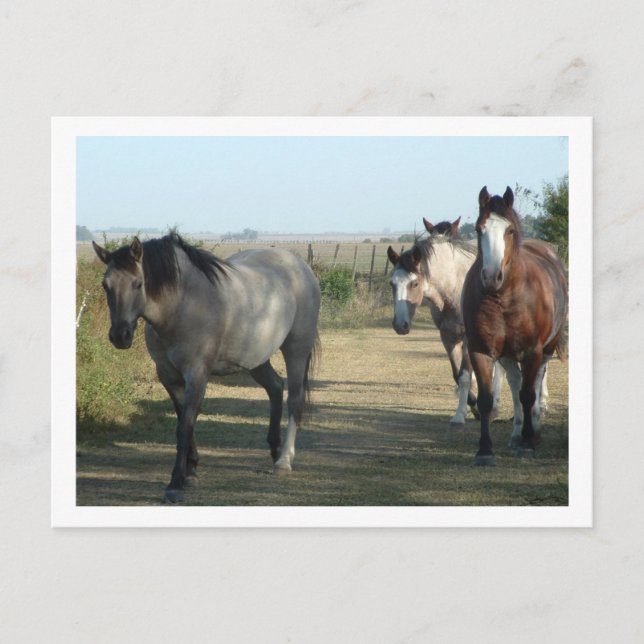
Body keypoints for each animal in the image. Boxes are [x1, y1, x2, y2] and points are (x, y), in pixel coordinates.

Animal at [93, 232, 321, 502]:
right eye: (105, 285)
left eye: (138, 284)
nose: (120, 336)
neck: (184, 304)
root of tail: (300, 266)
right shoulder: (168, 376)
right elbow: (183, 421)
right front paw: (190, 474)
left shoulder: (197, 374)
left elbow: (185, 426)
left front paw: (175, 483)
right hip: (255, 358)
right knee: (275, 387)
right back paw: (274, 451)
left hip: (296, 349)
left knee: (294, 399)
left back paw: (284, 461)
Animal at [461, 186, 568, 465]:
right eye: (479, 229)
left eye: (509, 230)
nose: (490, 276)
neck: (503, 297)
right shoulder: (480, 350)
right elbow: (487, 399)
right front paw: (485, 451)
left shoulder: (532, 351)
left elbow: (528, 394)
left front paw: (529, 445)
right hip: (507, 355)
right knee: (514, 381)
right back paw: (517, 433)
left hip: (546, 349)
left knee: (535, 383)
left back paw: (533, 432)